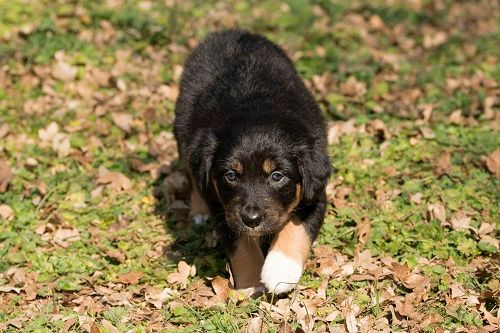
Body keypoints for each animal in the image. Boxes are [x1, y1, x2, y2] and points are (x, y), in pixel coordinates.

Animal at [173, 29, 332, 292]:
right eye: (231, 175)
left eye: (277, 176)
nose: (251, 219)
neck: (257, 106)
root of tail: (231, 32)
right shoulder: (225, 207)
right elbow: (241, 245)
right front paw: (251, 285)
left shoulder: (315, 192)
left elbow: (297, 227)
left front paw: (280, 270)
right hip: (184, 132)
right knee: (192, 173)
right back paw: (198, 212)